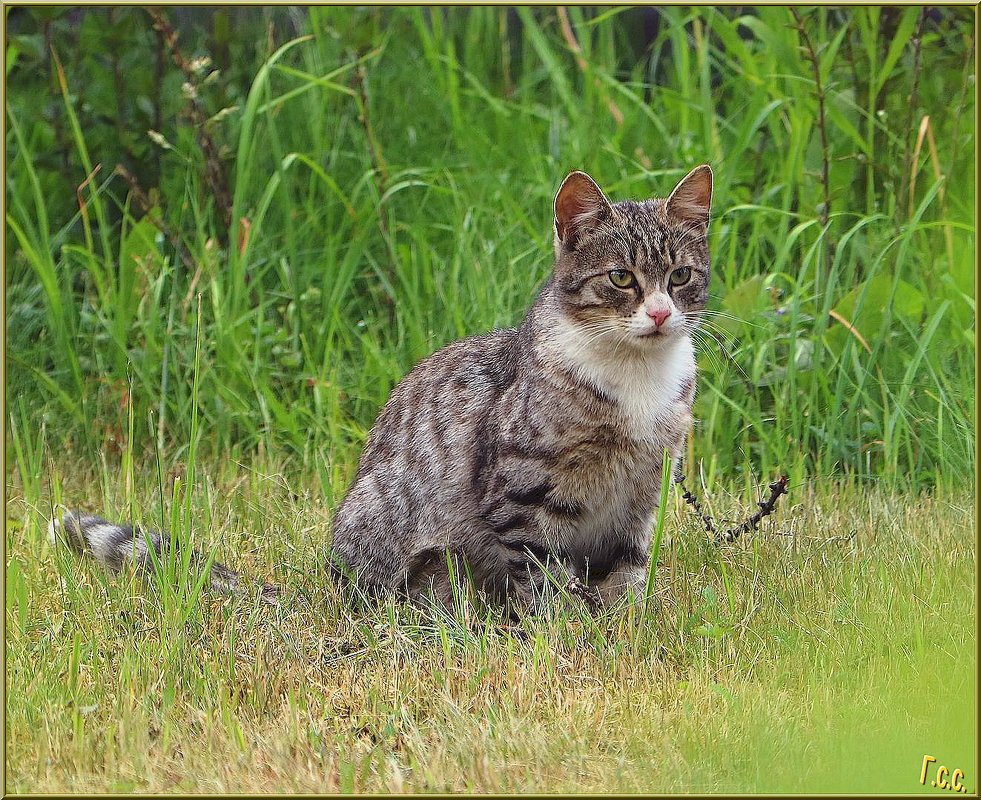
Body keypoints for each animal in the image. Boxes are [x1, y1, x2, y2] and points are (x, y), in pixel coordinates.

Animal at [49, 164, 712, 612]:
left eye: (680, 276)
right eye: (621, 279)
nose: (660, 313)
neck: (637, 379)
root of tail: (330, 586)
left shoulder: (642, 494)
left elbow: (626, 572)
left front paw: (619, 627)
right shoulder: (522, 492)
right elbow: (543, 576)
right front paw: (563, 634)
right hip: (412, 548)